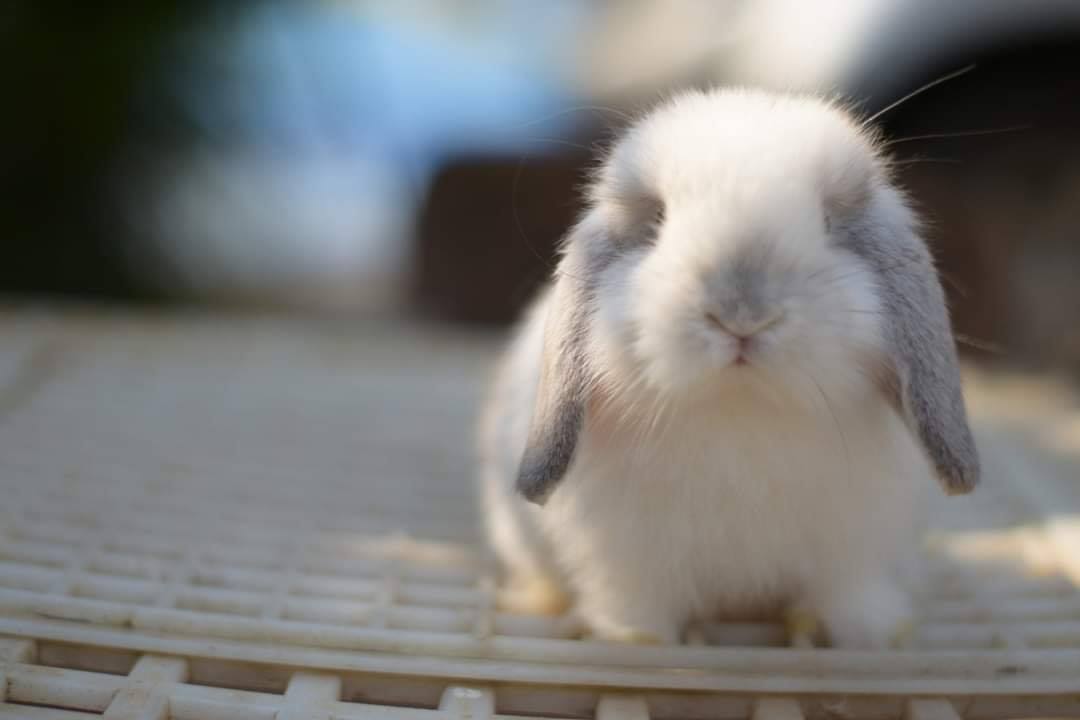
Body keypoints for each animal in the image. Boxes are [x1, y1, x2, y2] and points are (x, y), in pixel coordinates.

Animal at [478, 88, 979, 649]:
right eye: (657, 223)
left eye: (829, 225)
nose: (741, 314)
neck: (741, 409)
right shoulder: (622, 559)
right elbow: (634, 605)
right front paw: (634, 639)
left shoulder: (856, 554)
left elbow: (848, 598)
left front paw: (855, 634)